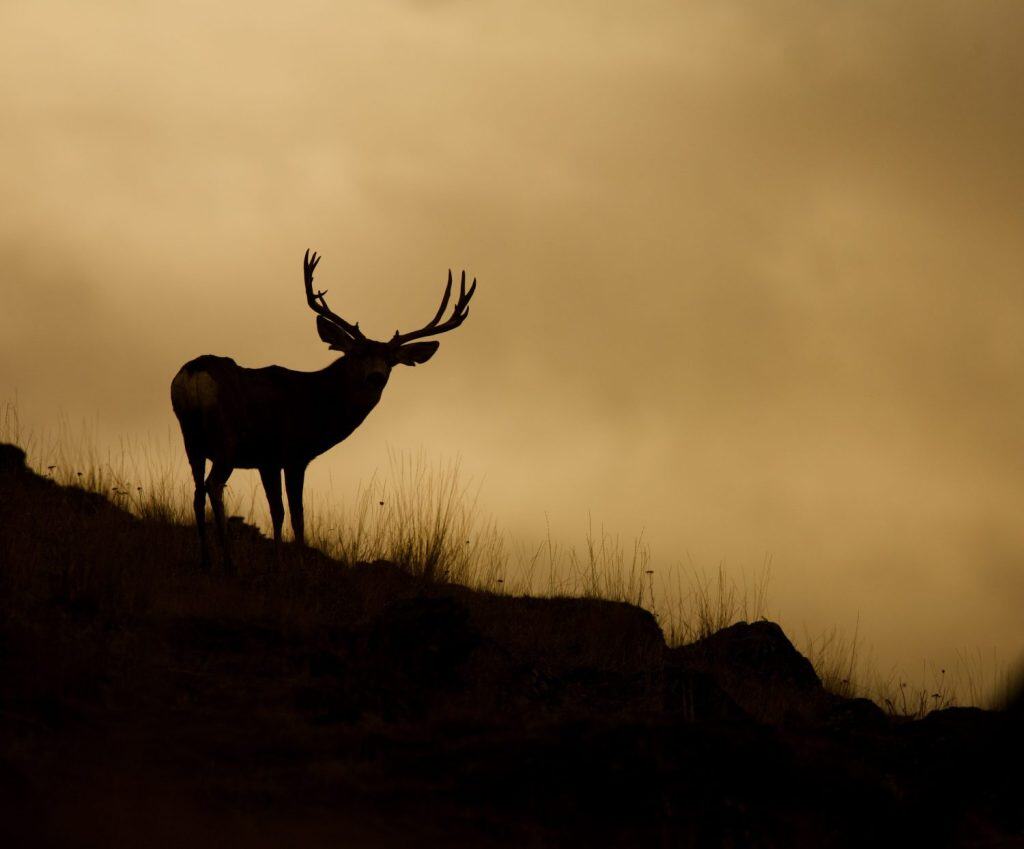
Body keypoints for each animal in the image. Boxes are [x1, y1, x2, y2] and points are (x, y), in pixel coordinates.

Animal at [170, 250, 477, 572]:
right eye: (357, 354)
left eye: (391, 360)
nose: (376, 377)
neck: (314, 404)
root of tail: (194, 371)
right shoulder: (293, 454)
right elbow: (296, 516)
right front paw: (293, 567)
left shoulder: (268, 461)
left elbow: (277, 512)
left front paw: (278, 563)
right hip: (227, 438)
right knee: (214, 486)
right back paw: (229, 563)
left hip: (191, 438)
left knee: (197, 492)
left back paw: (206, 560)